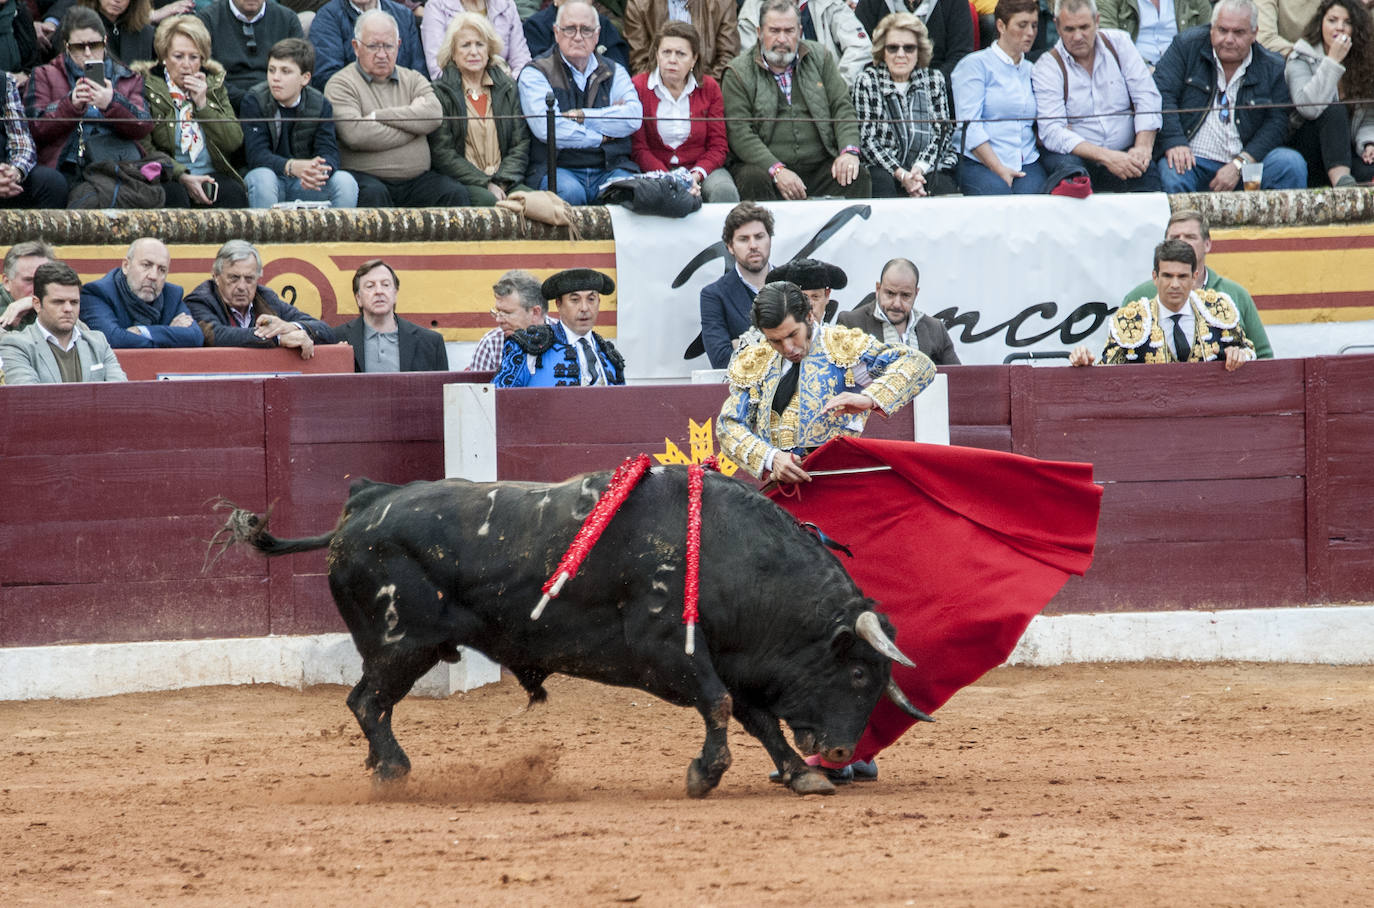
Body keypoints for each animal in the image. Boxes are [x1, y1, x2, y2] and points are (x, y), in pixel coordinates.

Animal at [217, 464, 923, 796]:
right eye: (856, 670)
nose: (841, 753)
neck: (728, 553)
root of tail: (362, 505)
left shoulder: (729, 661)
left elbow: (757, 717)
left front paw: (799, 775)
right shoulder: (667, 651)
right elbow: (722, 705)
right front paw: (705, 774)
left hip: (398, 648)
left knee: (370, 705)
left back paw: (378, 767)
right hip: (401, 645)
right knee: (367, 702)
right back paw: (393, 770)